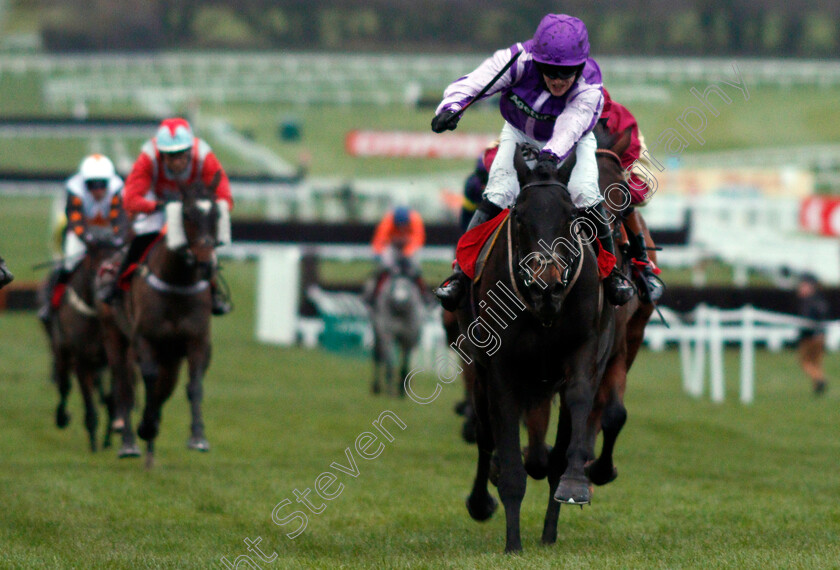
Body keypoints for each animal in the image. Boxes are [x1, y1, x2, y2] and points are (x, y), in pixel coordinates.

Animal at [43, 229, 121, 450]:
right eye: (97, 267)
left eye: (118, 266)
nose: (108, 295)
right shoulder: (81, 360)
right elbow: (89, 404)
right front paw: (94, 444)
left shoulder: (113, 359)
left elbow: (112, 399)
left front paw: (109, 439)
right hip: (61, 350)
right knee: (64, 385)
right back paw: (62, 417)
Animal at [370, 253, 424, 394]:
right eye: (394, 284)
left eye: (408, 285)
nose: (400, 301)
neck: (400, 313)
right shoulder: (388, 335)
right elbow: (389, 362)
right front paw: (390, 389)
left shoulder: (408, 337)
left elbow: (405, 363)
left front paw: (401, 389)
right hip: (377, 333)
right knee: (377, 356)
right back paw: (376, 386)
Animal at [460, 146, 616, 552]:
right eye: (519, 217)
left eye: (572, 217)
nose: (547, 283)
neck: (543, 310)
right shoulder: (500, 369)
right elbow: (507, 448)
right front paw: (513, 543)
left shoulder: (584, 351)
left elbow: (578, 403)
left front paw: (574, 485)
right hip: (479, 373)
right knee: (484, 434)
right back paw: (481, 500)